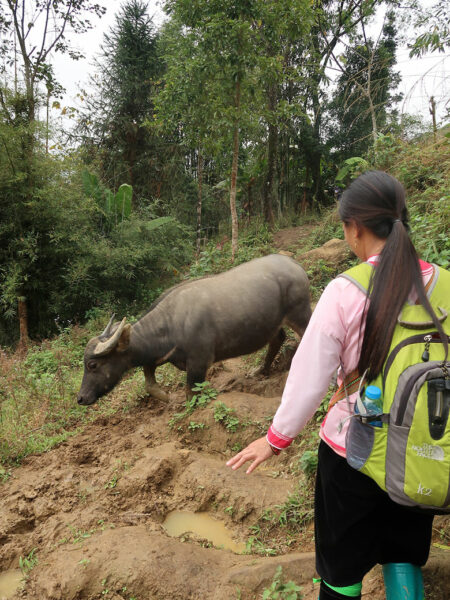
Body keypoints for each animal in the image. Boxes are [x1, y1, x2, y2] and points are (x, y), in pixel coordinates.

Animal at [76, 254, 310, 408]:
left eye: (92, 364)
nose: (80, 398)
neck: (171, 323)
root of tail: (294, 264)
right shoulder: (156, 357)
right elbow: (149, 382)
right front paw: (165, 397)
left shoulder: (199, 362)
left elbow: (191, 392)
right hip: (274, 323)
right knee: (278, 339)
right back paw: (261, 371)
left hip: (300, 313)